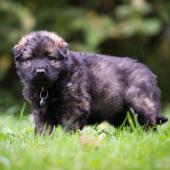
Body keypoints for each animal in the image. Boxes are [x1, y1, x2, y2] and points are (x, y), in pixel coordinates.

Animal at [12, 30, 167, 133]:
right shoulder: (40, 110)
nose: (40, 71)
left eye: (50, 58)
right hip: (118, 111)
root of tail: (150, 74)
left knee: (149, 120)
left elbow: (70, 125)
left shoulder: (75, 105)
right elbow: (43, 128)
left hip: (137, 100)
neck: (48, 87)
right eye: (30, 58)